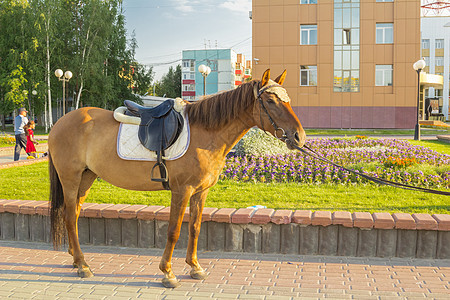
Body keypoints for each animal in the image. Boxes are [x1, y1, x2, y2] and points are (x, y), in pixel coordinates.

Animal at [48, 69, 306, 288]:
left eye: (288, 100)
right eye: (270, 101)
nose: (299, 137)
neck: (206, 132)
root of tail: (59, 123)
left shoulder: (201, 191)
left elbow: (195, 228)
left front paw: (195, 267)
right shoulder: (182, 190)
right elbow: (174, 230)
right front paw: (168, 272)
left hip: (86, 178)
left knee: (75, 214)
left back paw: (76, 260)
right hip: (70, 179)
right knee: (69, 217)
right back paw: (83, 265)